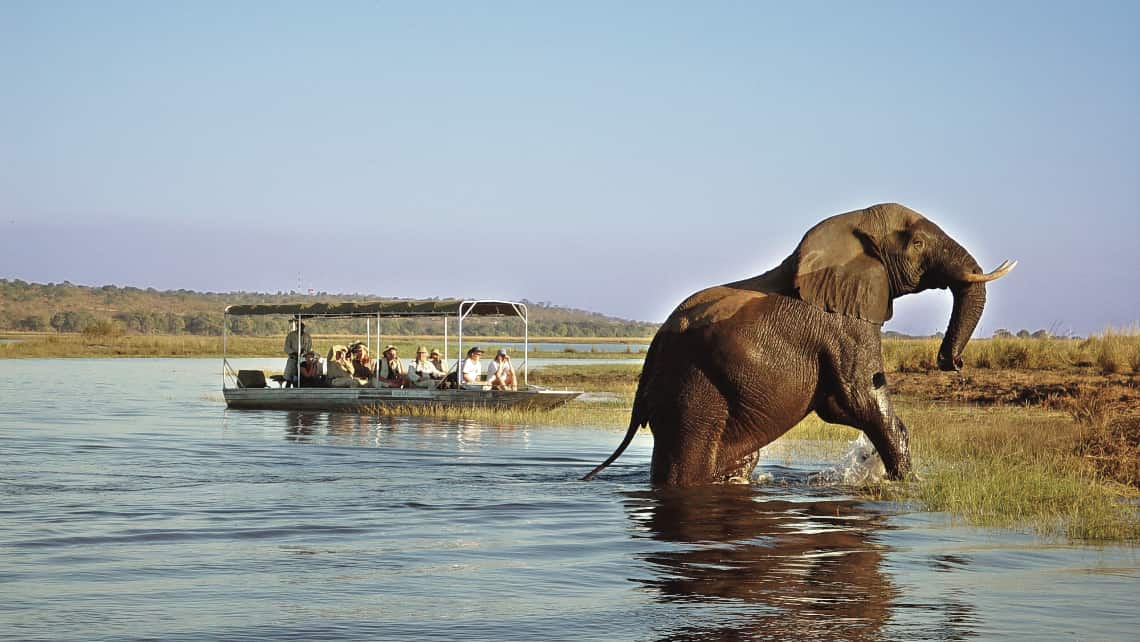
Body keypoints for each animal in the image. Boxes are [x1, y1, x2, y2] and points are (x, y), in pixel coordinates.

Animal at [588, 202, 1016, 485]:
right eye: (918, 244)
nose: (951, 362)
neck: (850, 226)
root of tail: (651, 355)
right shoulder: (844, 323)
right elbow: (861, 398)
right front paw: (907, 485)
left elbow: (838, 405)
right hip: (691, 391)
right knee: (688, 465)